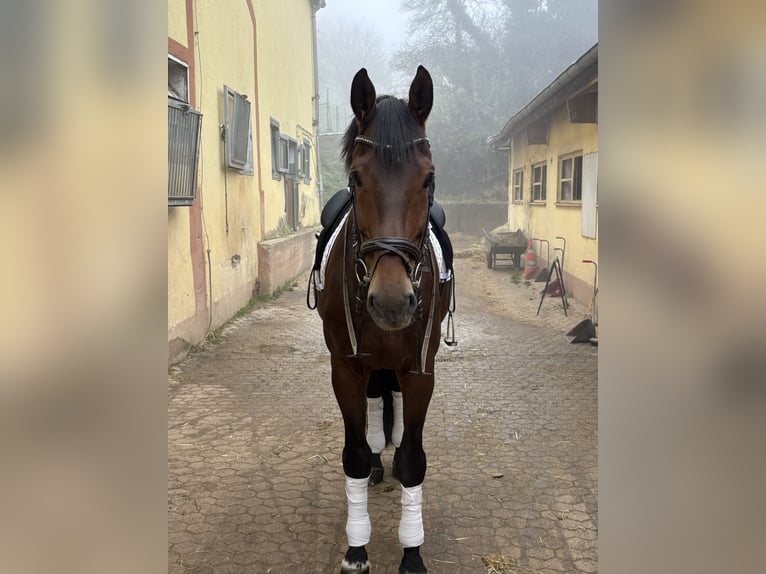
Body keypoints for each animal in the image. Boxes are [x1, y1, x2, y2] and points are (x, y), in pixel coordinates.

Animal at [307, 66, 455, 574]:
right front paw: (356, 549)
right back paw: (375, 462)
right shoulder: (346, 368)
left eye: (429, 180)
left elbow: (412, 459)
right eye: (356, 178)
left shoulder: (419, 370)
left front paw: (412, 553)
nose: (392, 302)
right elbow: (352, 454)